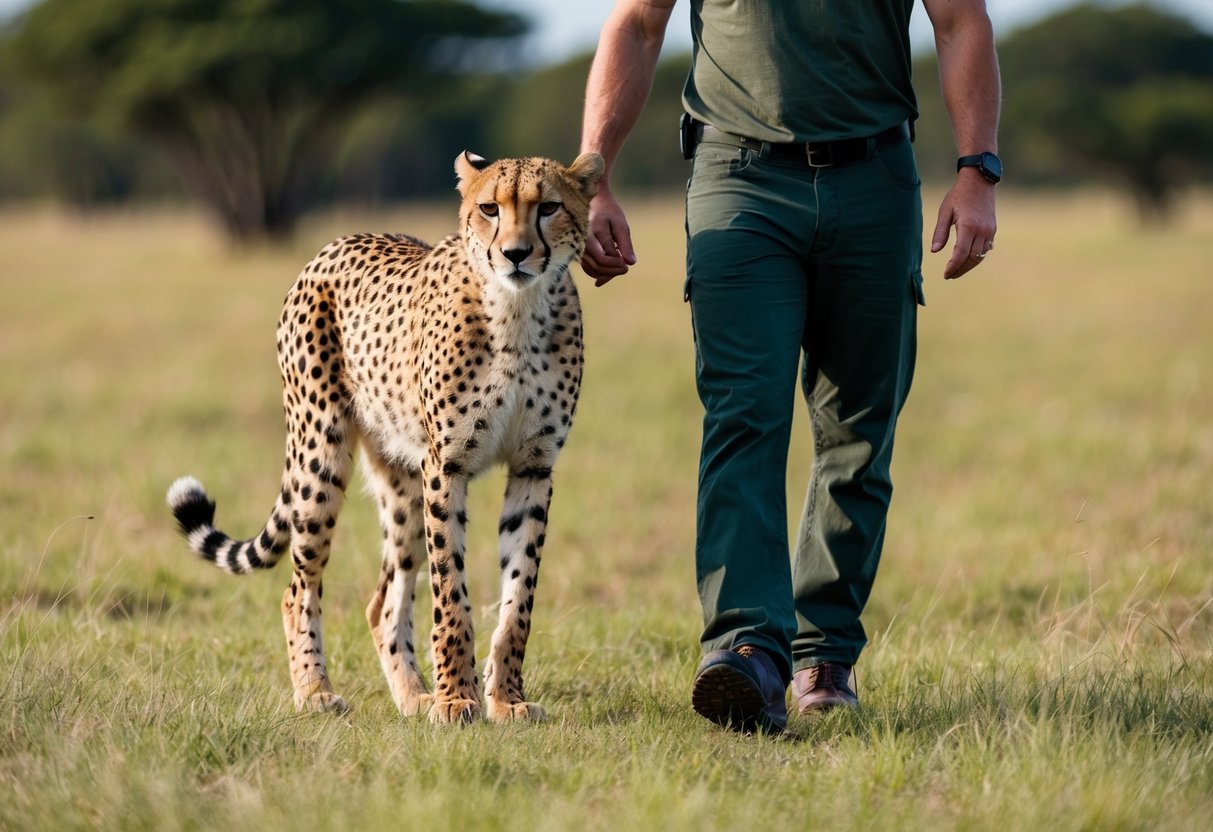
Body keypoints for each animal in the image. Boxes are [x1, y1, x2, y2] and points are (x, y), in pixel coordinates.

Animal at [167, 151, 604, 724]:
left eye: (548, 207)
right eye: (490, 208)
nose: (514, 254)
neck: (517, 310)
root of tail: (335, 244)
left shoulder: (533, 466)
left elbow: (518, 599)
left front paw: (504, 698)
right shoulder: (447, 465)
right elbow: (451, 594)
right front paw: (457, 697)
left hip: (404, 484)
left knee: (383, 600)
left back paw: (414, 696)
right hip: (321, 457)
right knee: (297, 589)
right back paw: (316, 691)